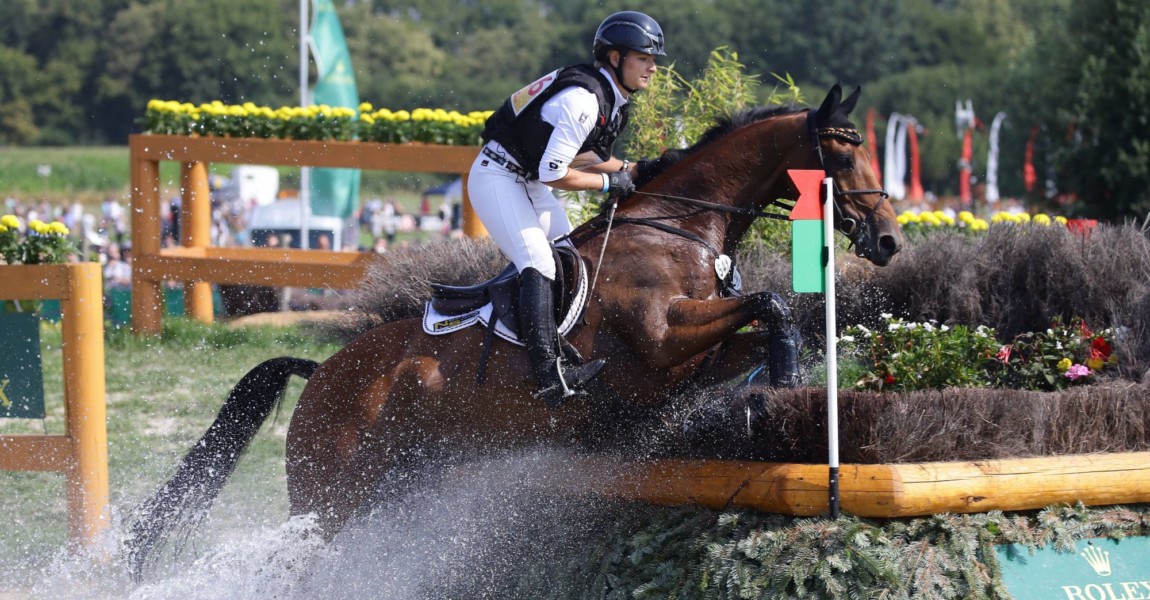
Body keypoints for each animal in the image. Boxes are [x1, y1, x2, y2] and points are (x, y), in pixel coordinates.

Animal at [123, 82, 897, 570]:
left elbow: (763, 322)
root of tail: (321, 376)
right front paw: (787, 389)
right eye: (843, 152)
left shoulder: (681, 363)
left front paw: (774, 392)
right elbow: (772, 305)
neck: (676, 228)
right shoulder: (659, 343)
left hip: (392, 489)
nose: (888, 239)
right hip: (330, 499)